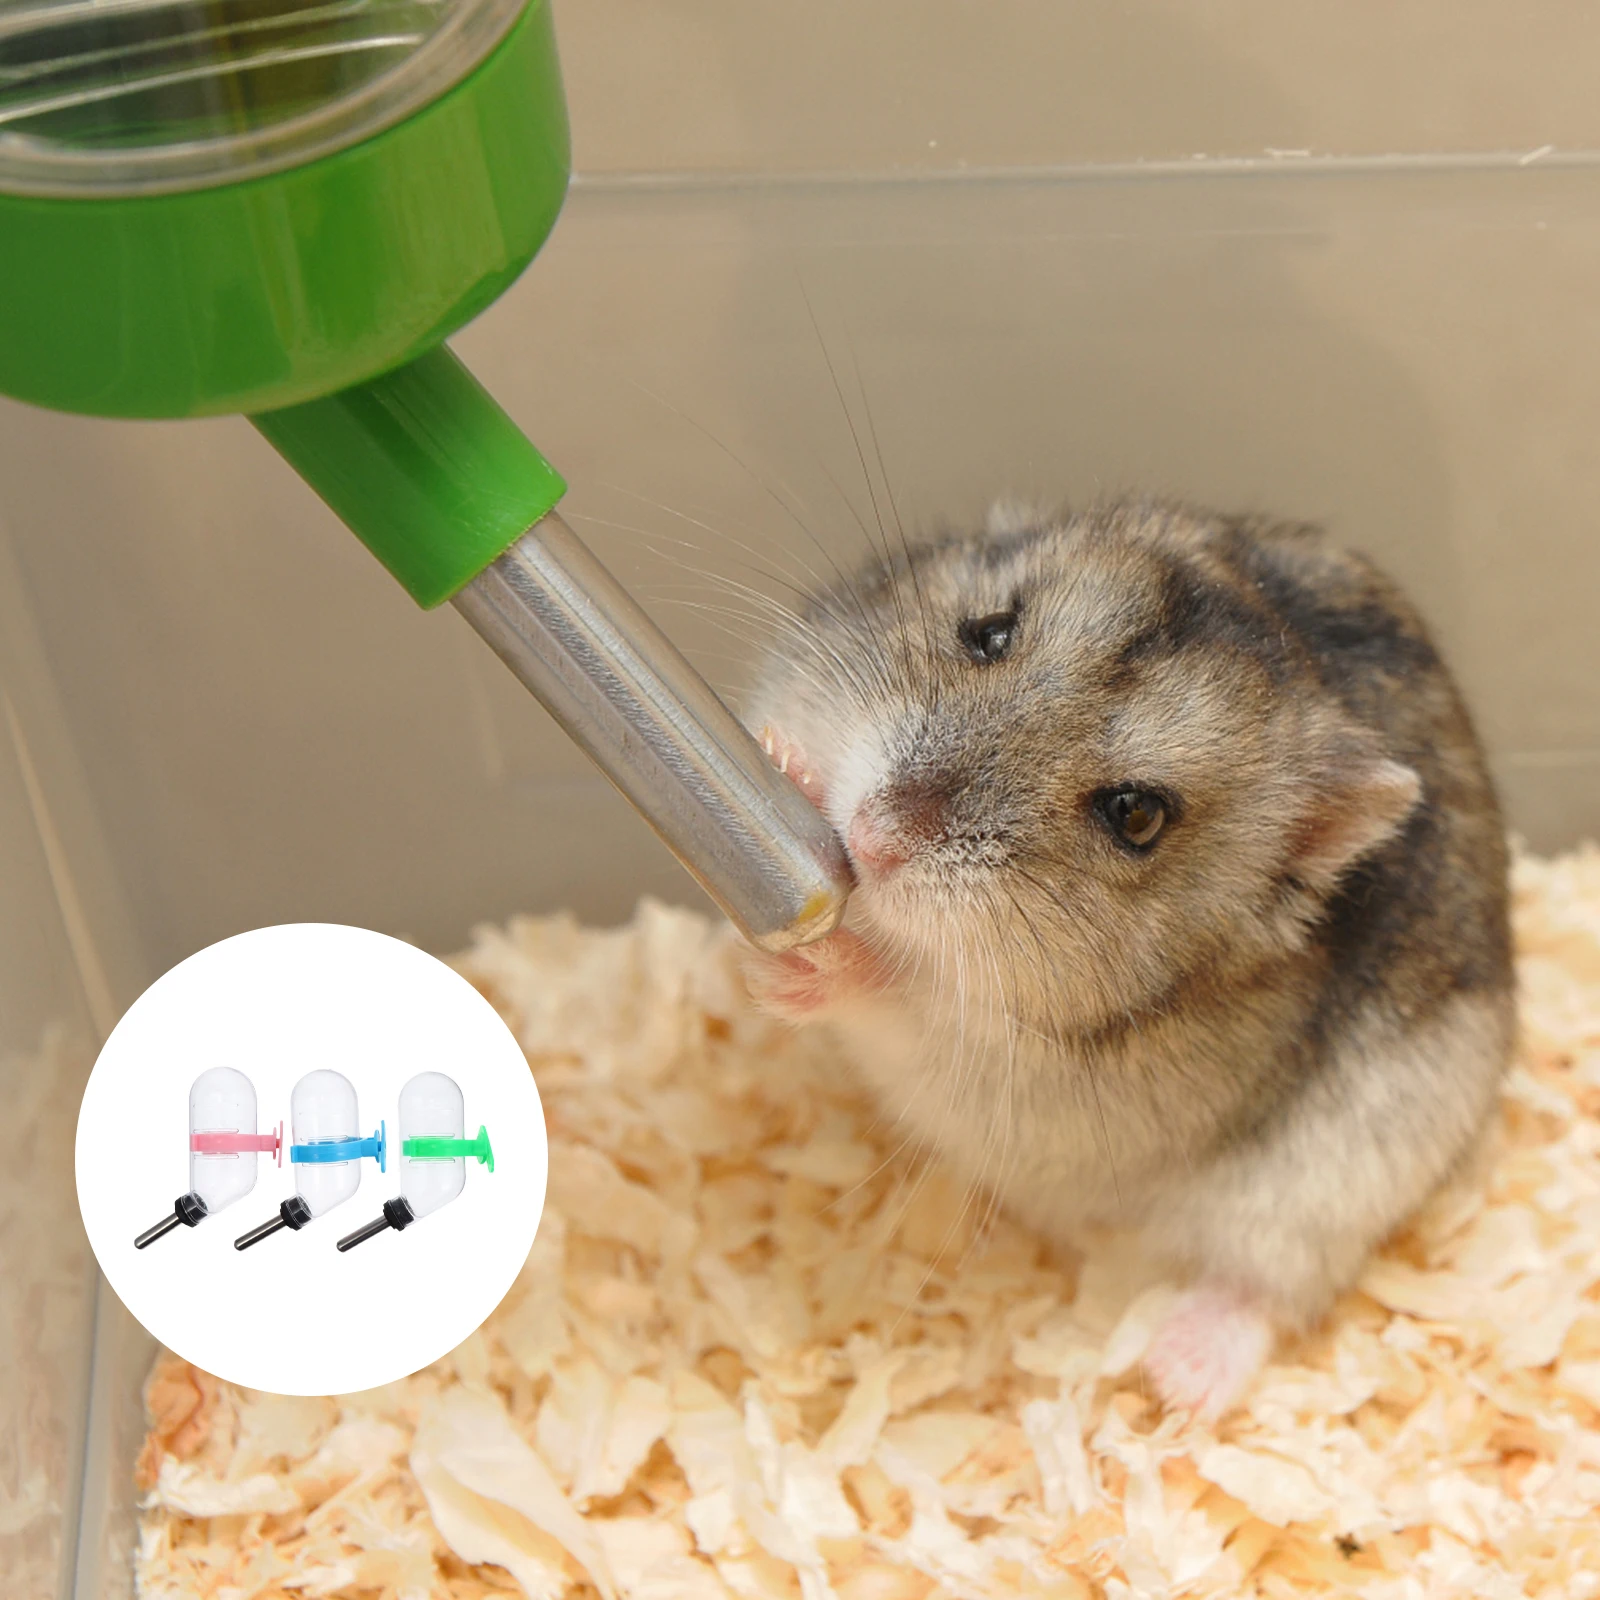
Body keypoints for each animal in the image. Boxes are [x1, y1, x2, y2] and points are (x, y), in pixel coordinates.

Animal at [740, 499, 1513, 1419]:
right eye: (990, 633)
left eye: (1136, 814)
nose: (872, 839)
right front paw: (783, 757)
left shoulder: (1026, 1076)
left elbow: (908, 1001)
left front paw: (812, 968)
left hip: (1332, 1191)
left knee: (1269, 1287)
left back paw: (1178, 1379)